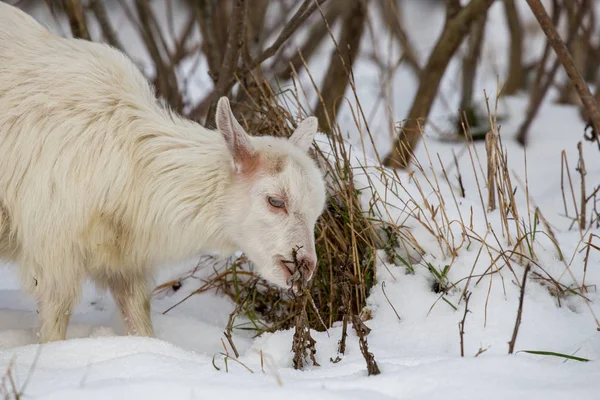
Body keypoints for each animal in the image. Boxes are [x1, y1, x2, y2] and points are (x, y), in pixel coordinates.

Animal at [0, 3, 326, 342]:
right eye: (275, 201)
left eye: (316, 213)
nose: (305, 266)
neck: (132, 167)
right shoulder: (54, 256)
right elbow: (55, 325)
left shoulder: (126, 267)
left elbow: (139, 319)